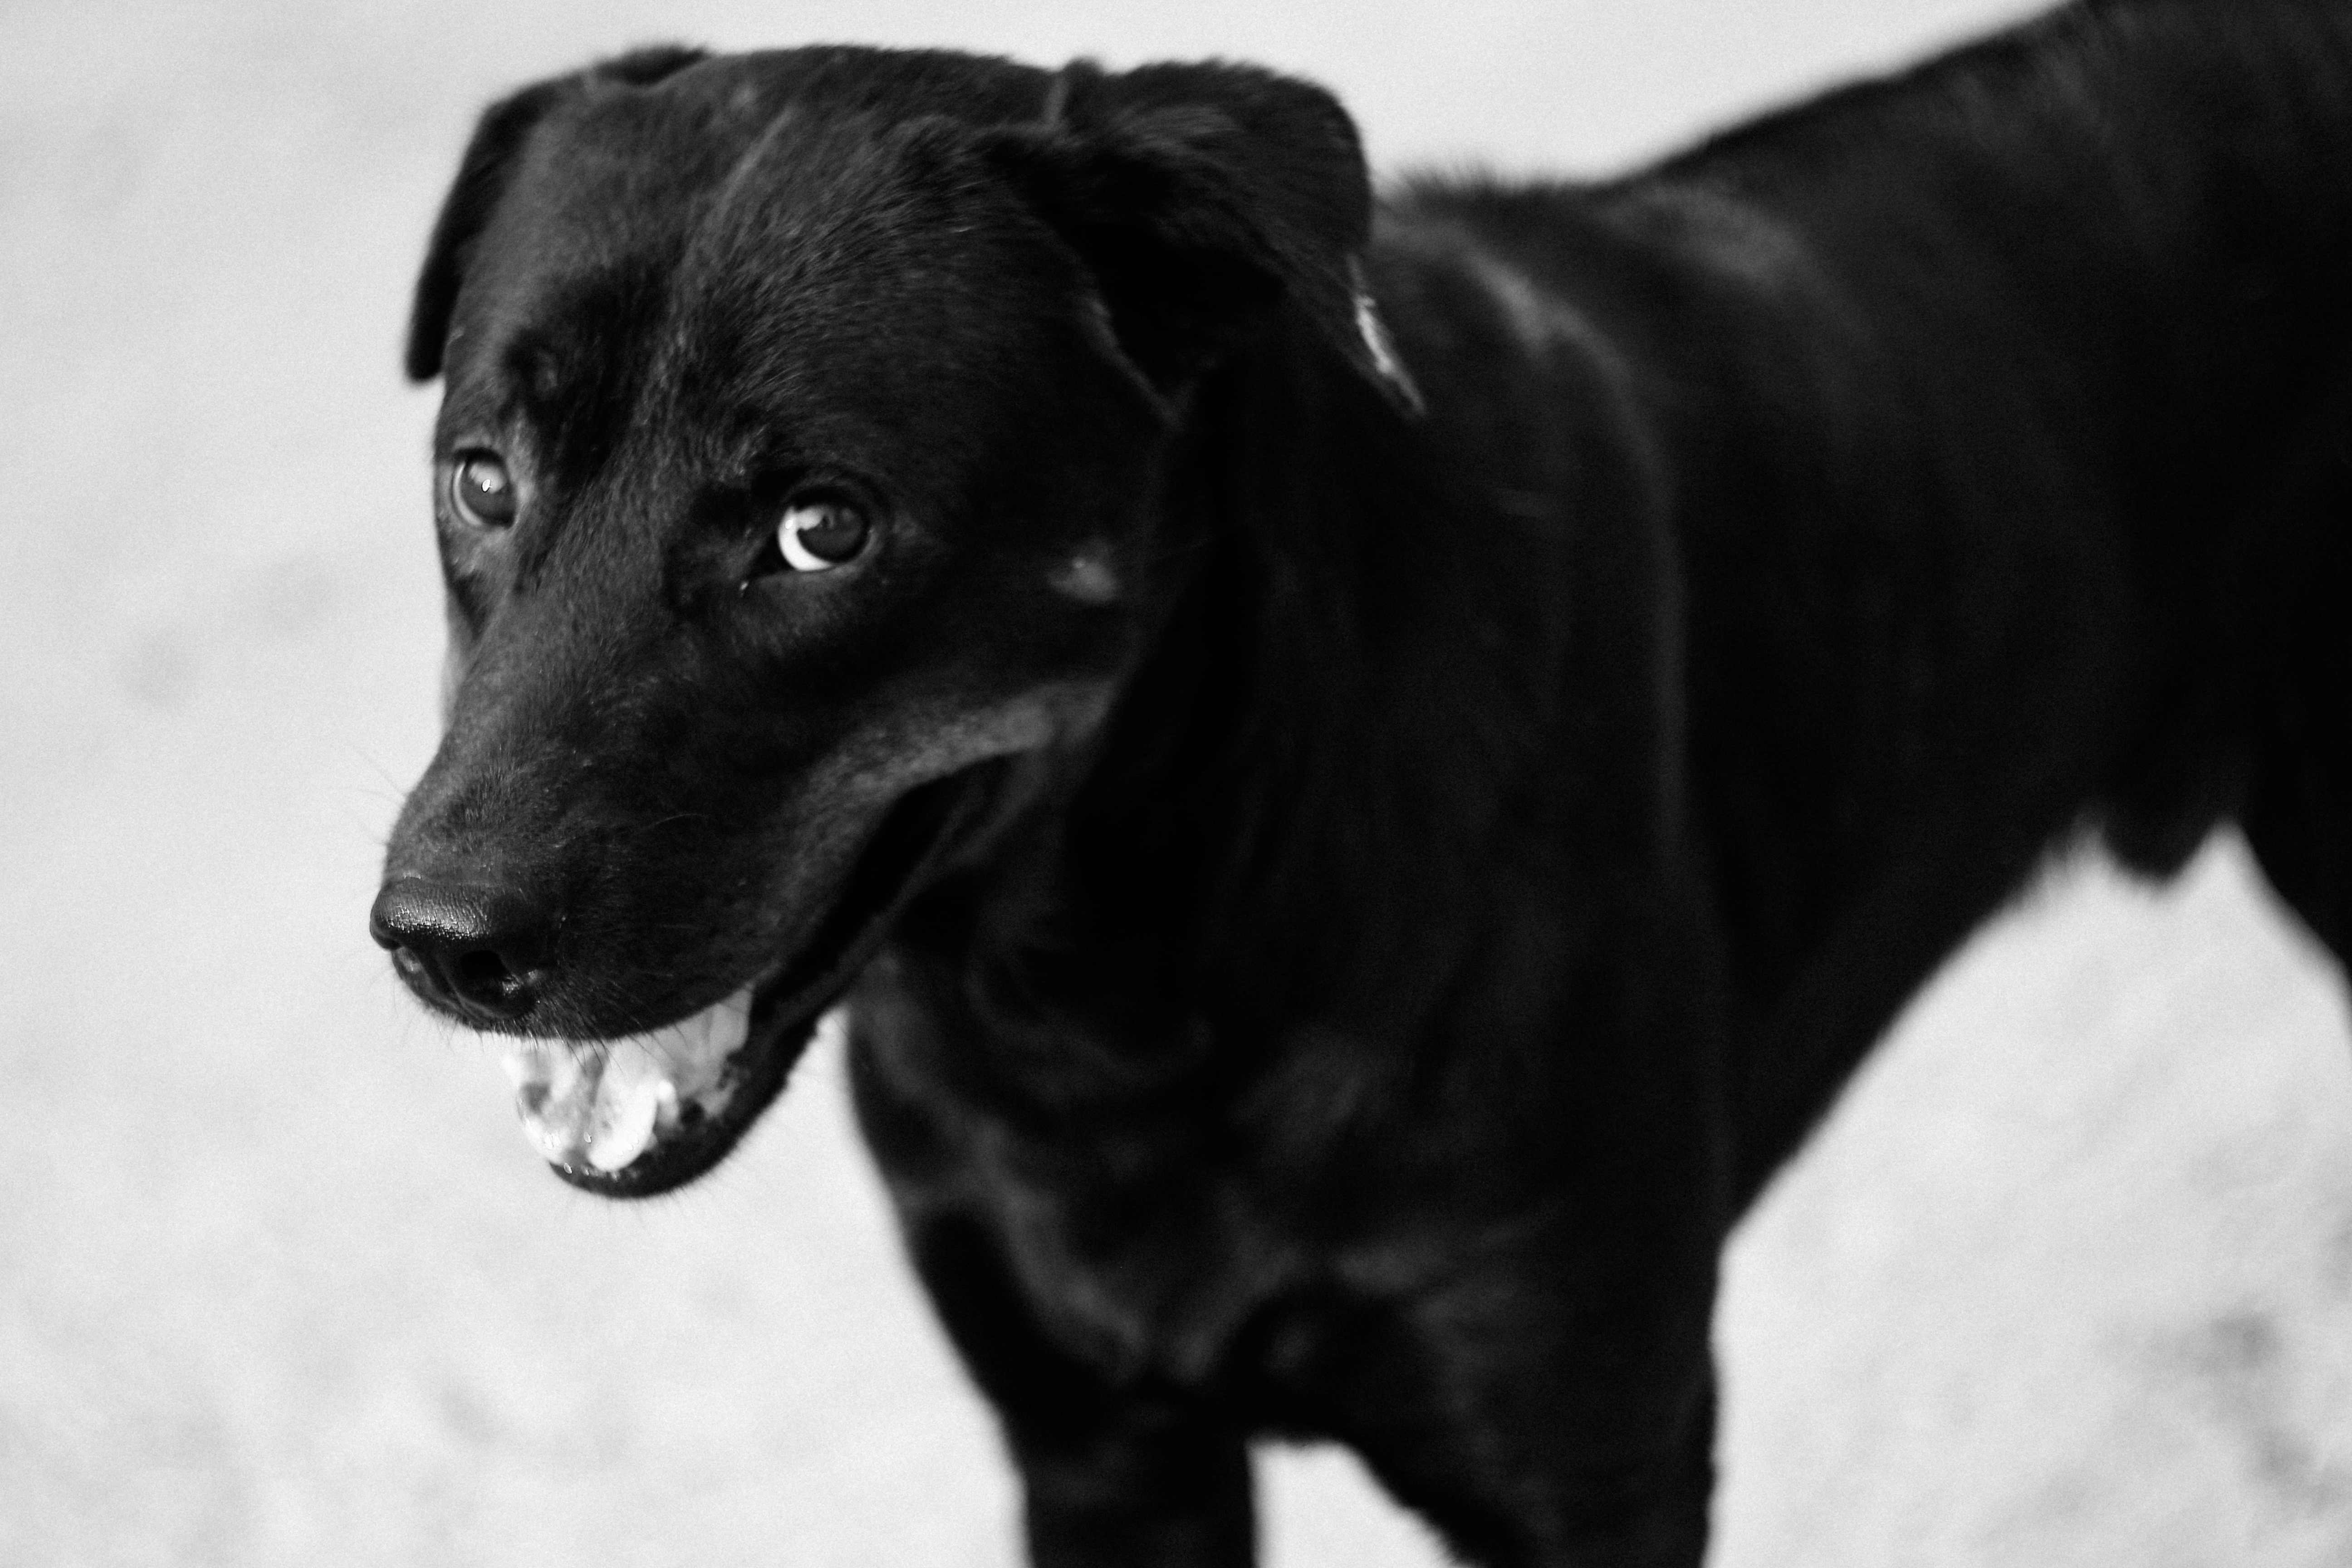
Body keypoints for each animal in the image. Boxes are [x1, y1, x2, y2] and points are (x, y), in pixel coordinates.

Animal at [372, 6, 2352, 1561]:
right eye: (482, 476)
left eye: (821, 528)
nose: (437, 943)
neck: (1118, 999)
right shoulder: (1099, 1449)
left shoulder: (1590, 1463)